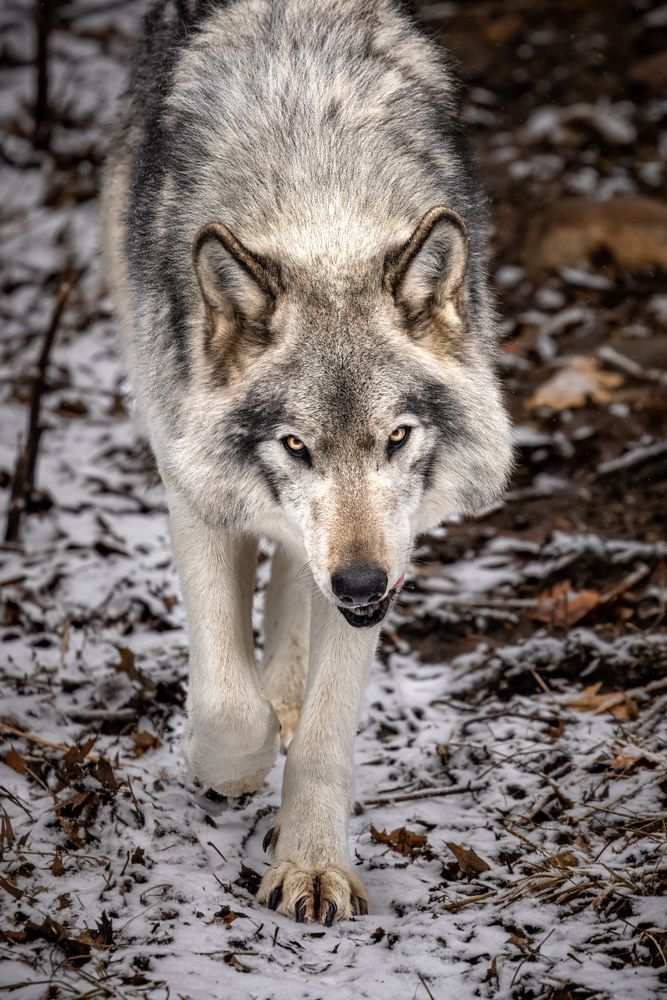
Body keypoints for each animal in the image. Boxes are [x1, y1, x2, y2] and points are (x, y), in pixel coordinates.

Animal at [101, 0, 512, 924]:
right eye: (296, 445)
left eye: (396, 437)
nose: (360, 583)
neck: (317, 202)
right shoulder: (192, 487)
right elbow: (226, 702)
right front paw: (233, 769)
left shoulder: (388, 556)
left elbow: (326, 734)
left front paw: (312, 864)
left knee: (295, 579)